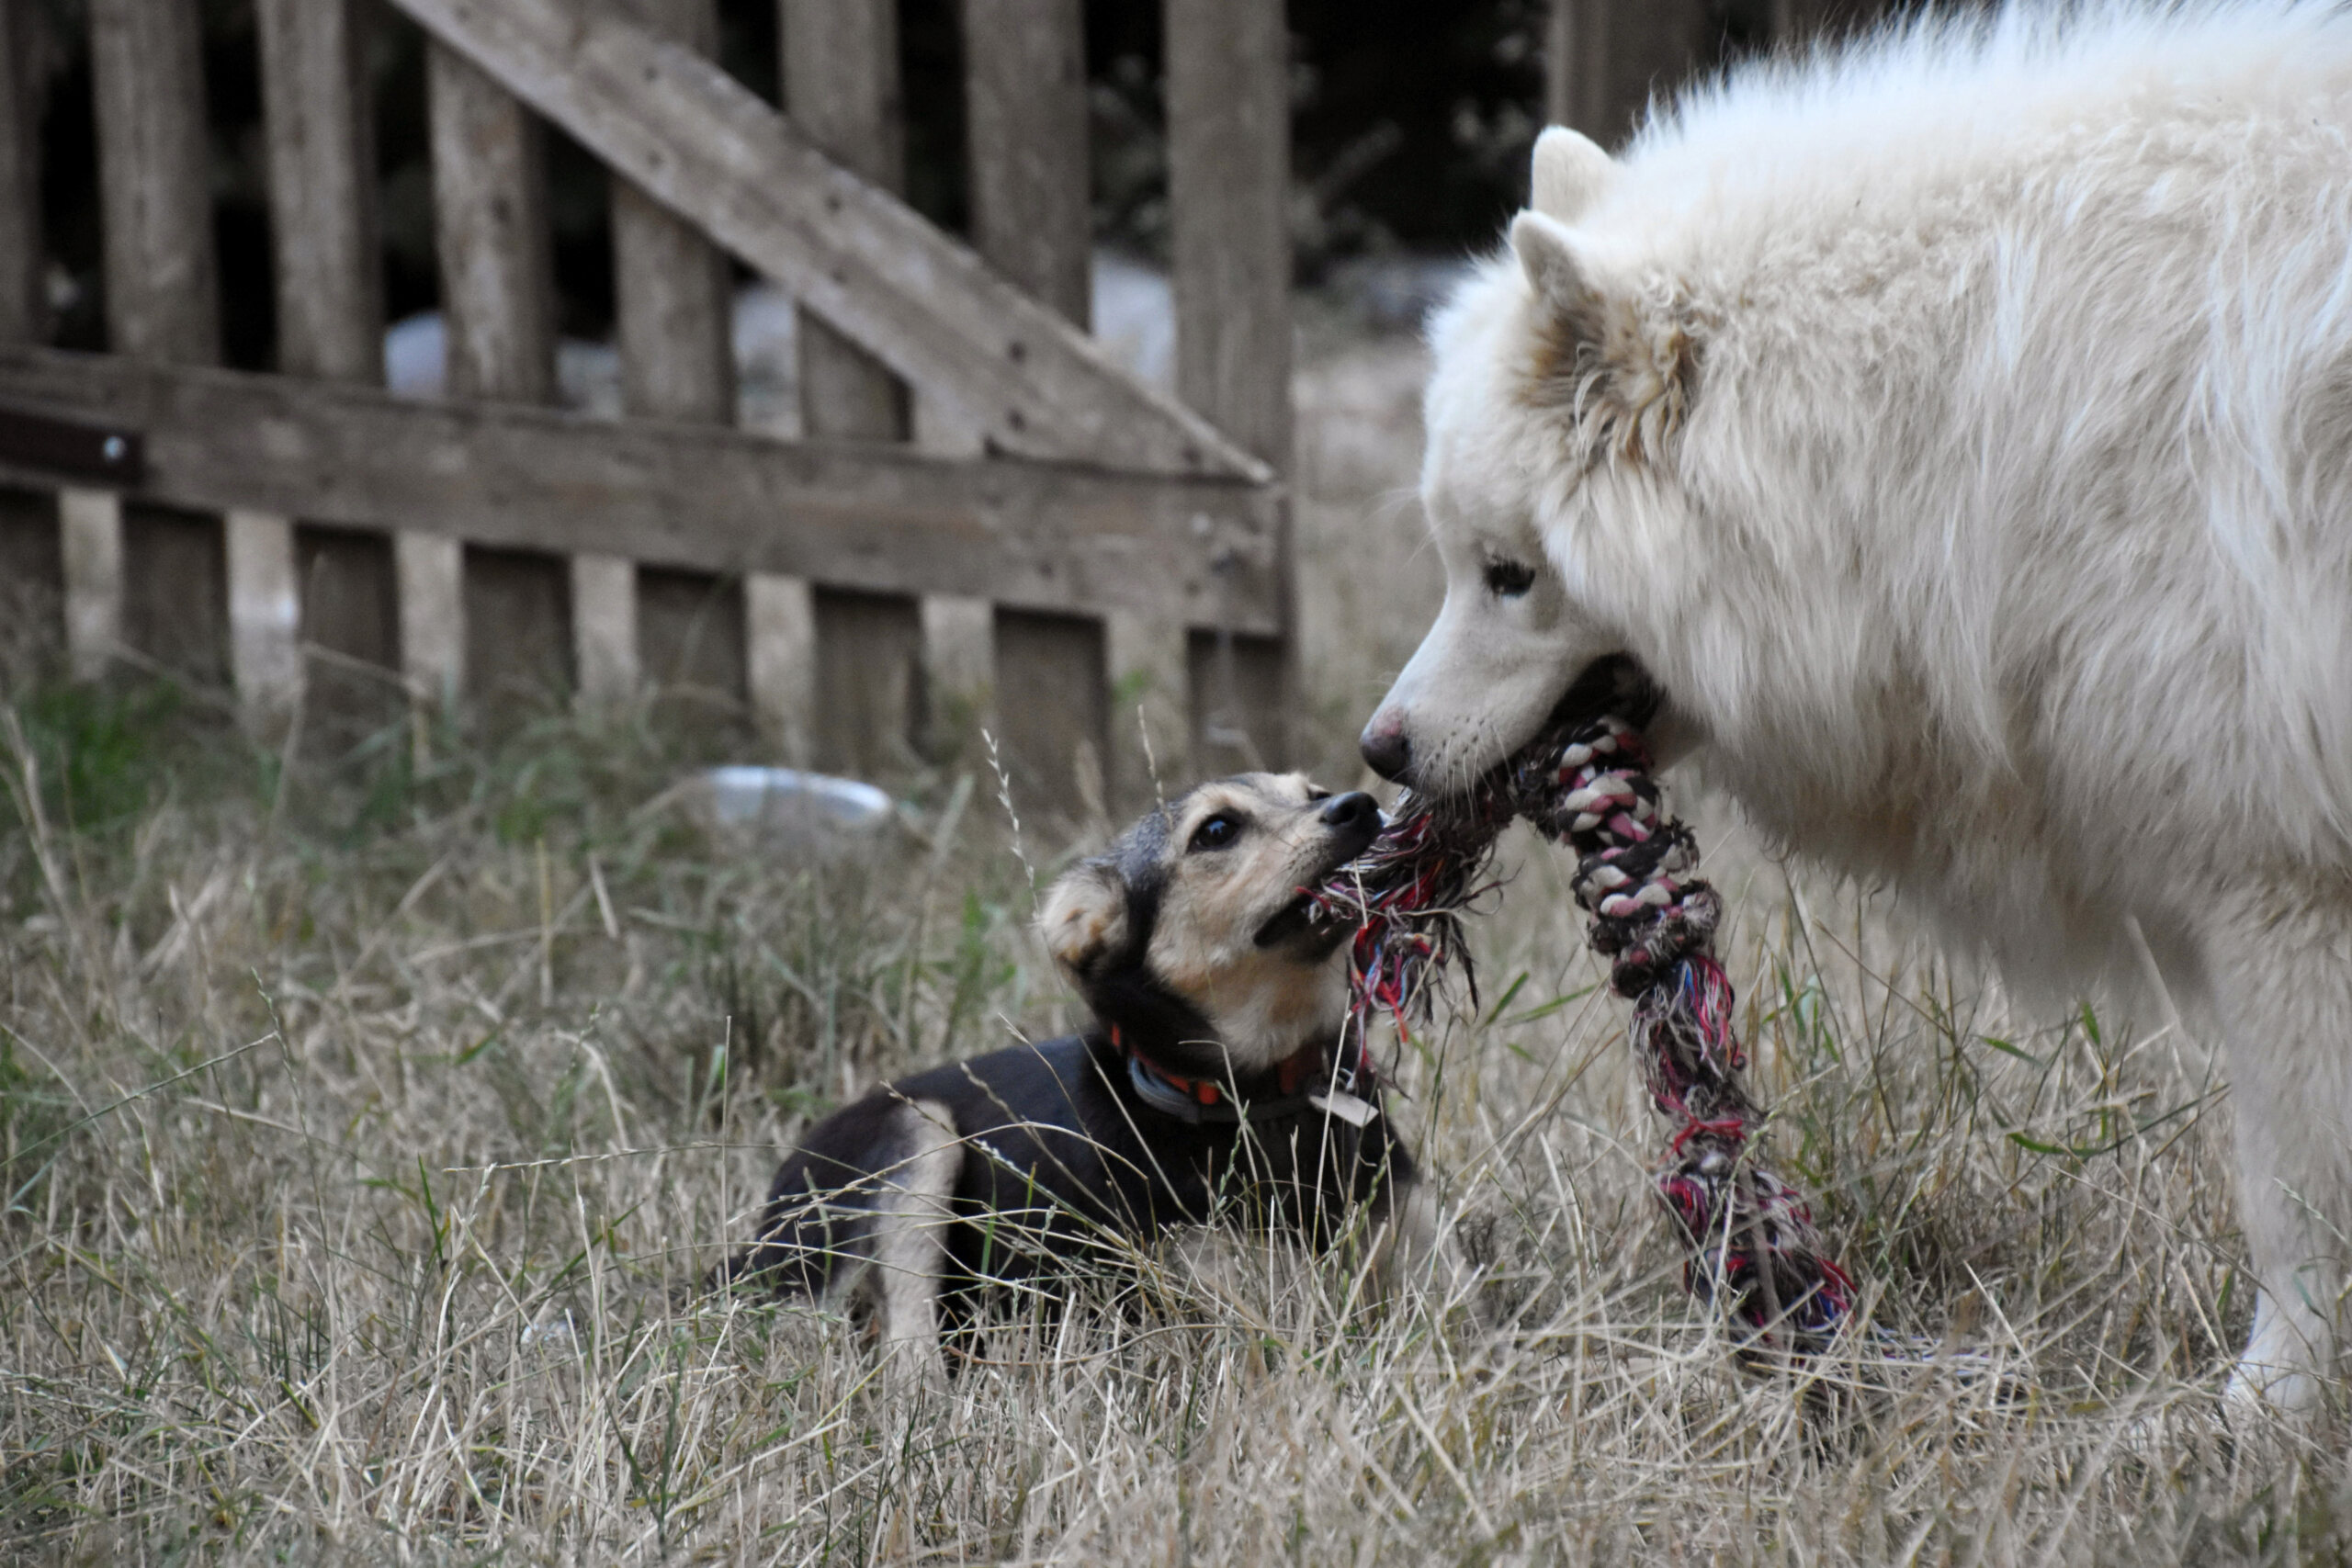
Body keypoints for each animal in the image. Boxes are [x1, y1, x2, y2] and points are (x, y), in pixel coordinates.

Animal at [715, 780, 1448, 1363]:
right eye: (1216, 830)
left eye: (1311, 789)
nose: (1360, 804)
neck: (1268, 1092)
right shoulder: (1239, 1308)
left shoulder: (1431, 1271)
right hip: (916, 1137)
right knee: (905, 1356)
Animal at [1374, 0, 2352, 1419]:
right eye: (1460, 563)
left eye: (1511, 574)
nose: (1377, 748)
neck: (1949, 408)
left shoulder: (2283, 884)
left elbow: (2296, 1208)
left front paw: (2263, 1420)